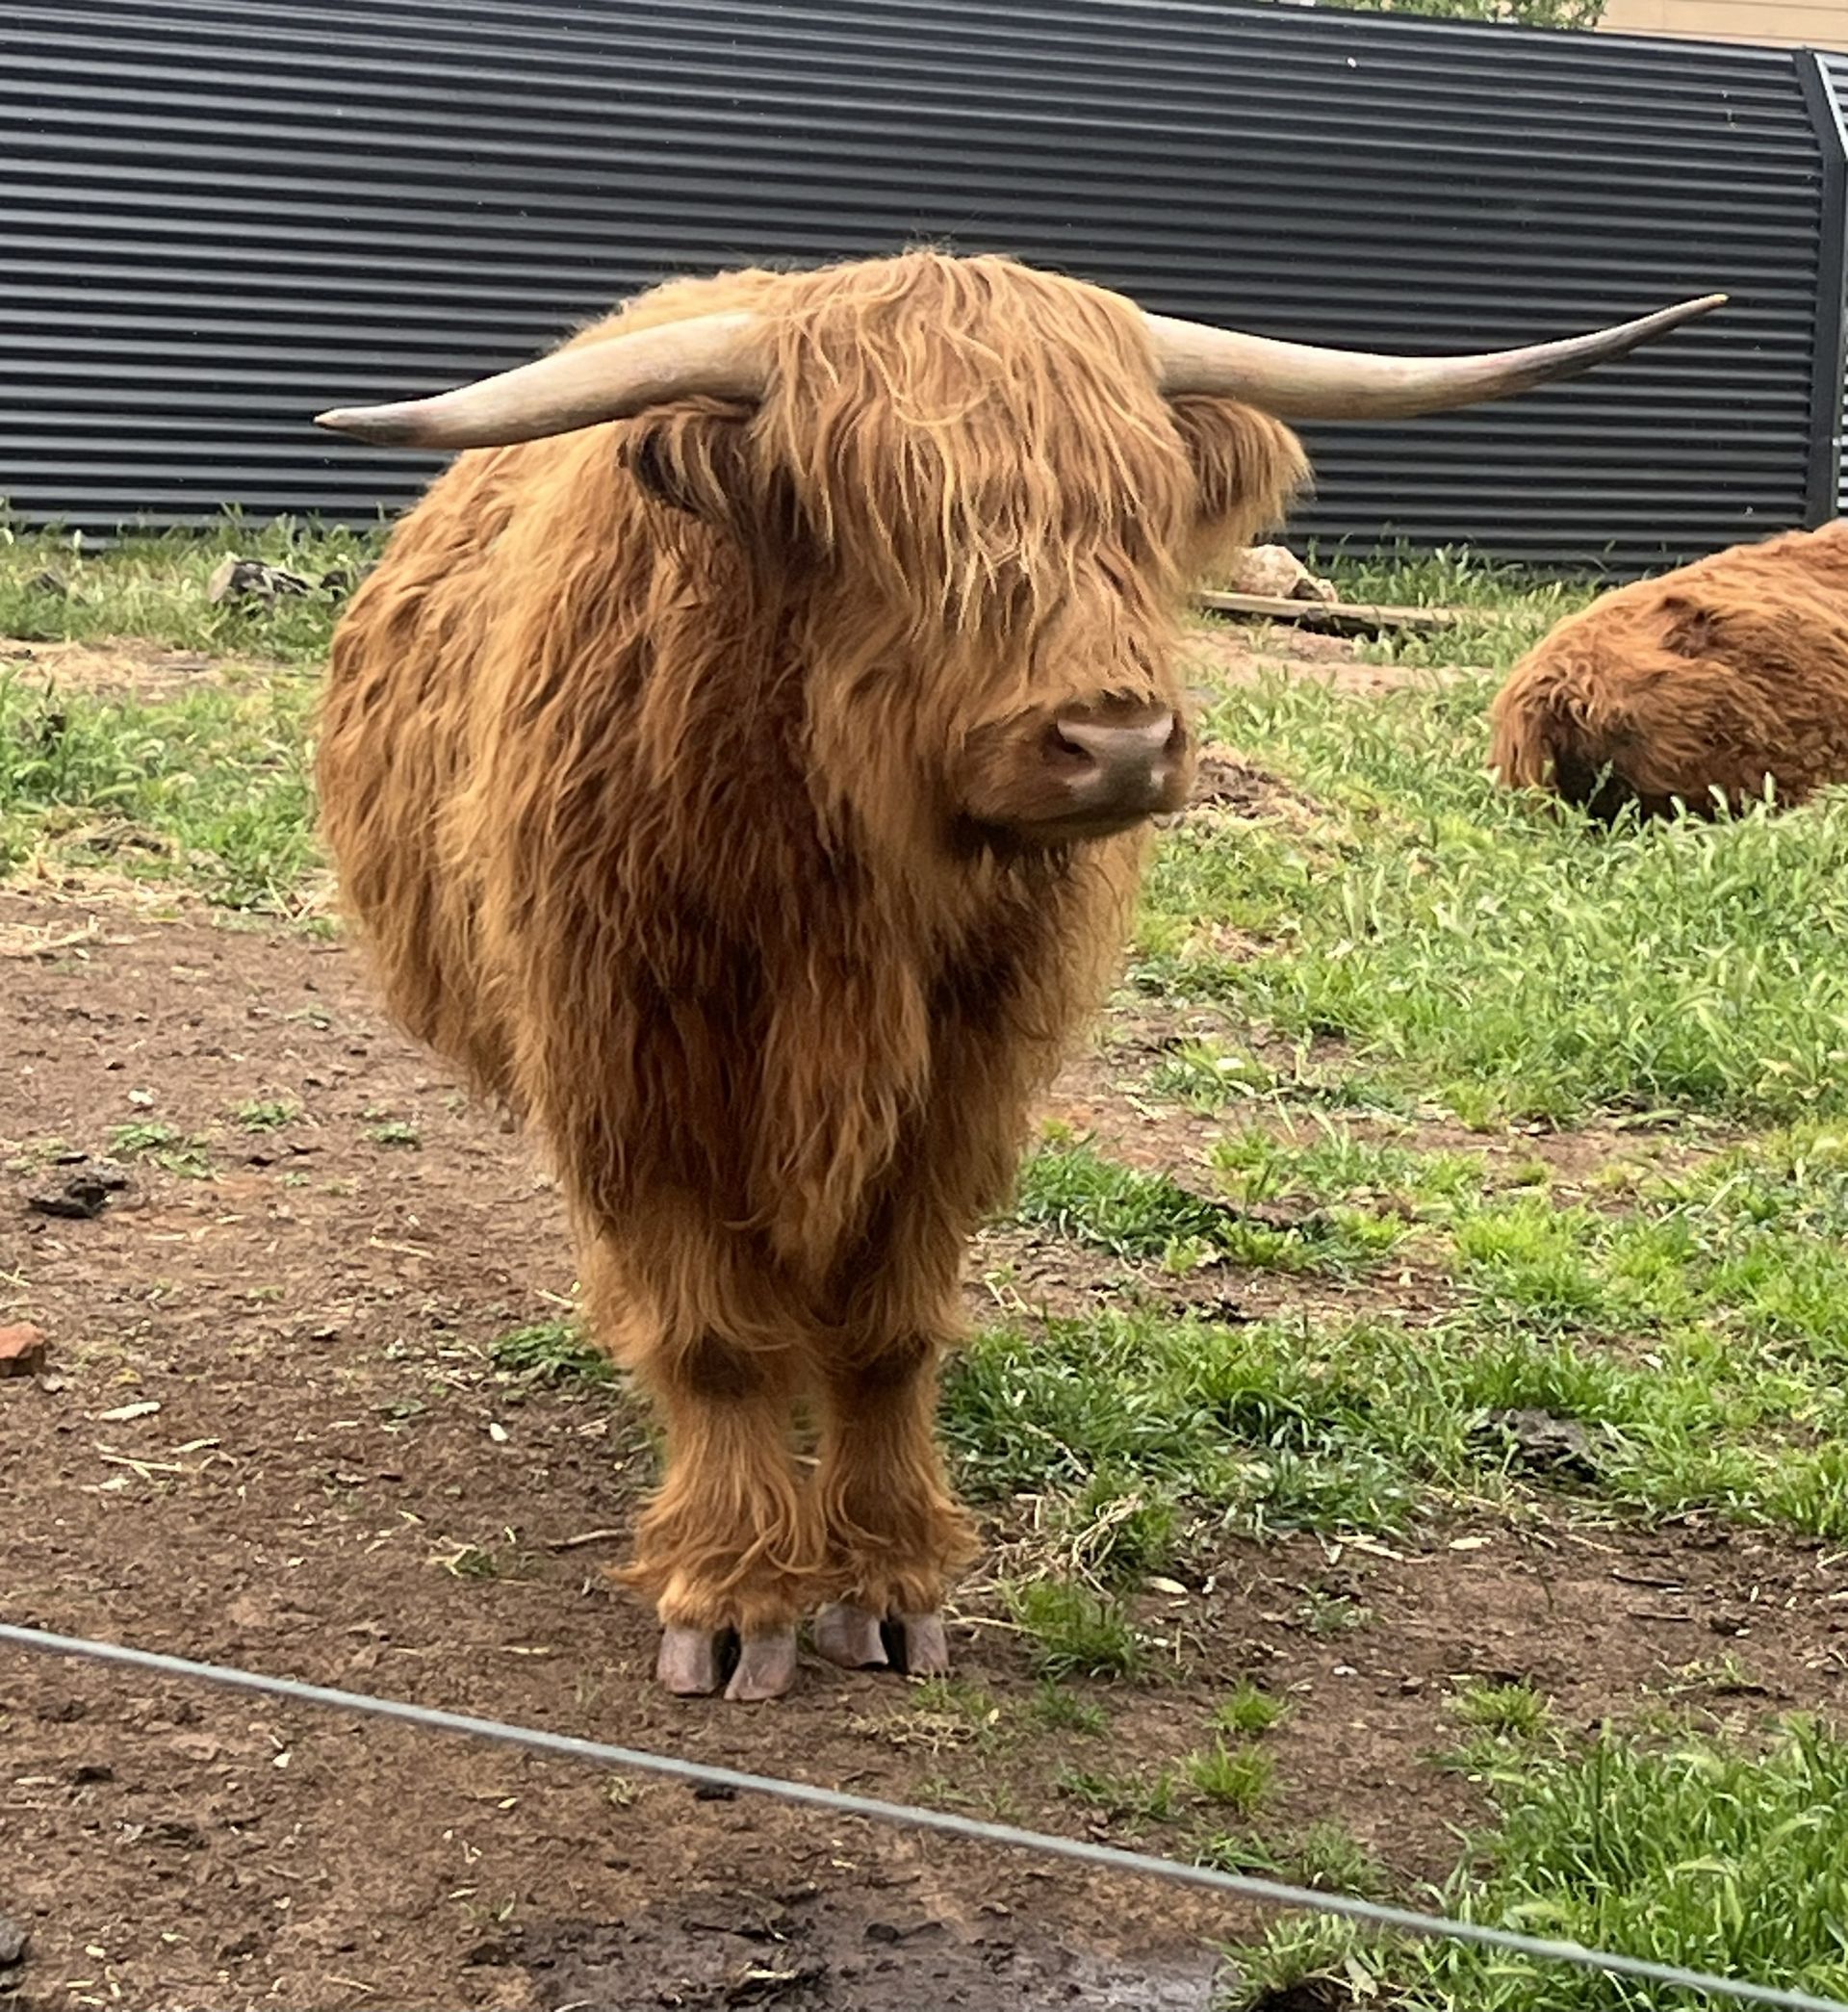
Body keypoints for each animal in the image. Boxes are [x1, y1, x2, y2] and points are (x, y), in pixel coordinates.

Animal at [313, 251, 1719, 1700]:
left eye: (1138, 509)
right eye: (898, 519)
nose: (1120, 740)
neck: (853, 874)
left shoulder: (964, 1074)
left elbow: (889, 1326)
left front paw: (886, 1577)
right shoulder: (633, 1059)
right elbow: (713, 1331)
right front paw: (735, 1591)